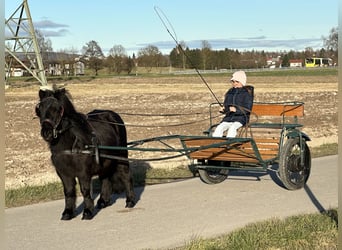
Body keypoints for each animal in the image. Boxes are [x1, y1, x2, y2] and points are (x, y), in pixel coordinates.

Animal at [35, 87, 135, 220]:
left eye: (58, 109)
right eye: (39, 109)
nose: (47, 133)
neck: (71, 144)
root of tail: (113, 115)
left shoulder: (83, 172)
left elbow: (85, 190)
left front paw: (87, 211)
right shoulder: (63, 172)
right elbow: (69, 191)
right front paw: (68, 212)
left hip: (121, 155)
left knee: (125, 175)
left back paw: (130, 201)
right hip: (104, 161)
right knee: (105, 178)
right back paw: (103, 201)